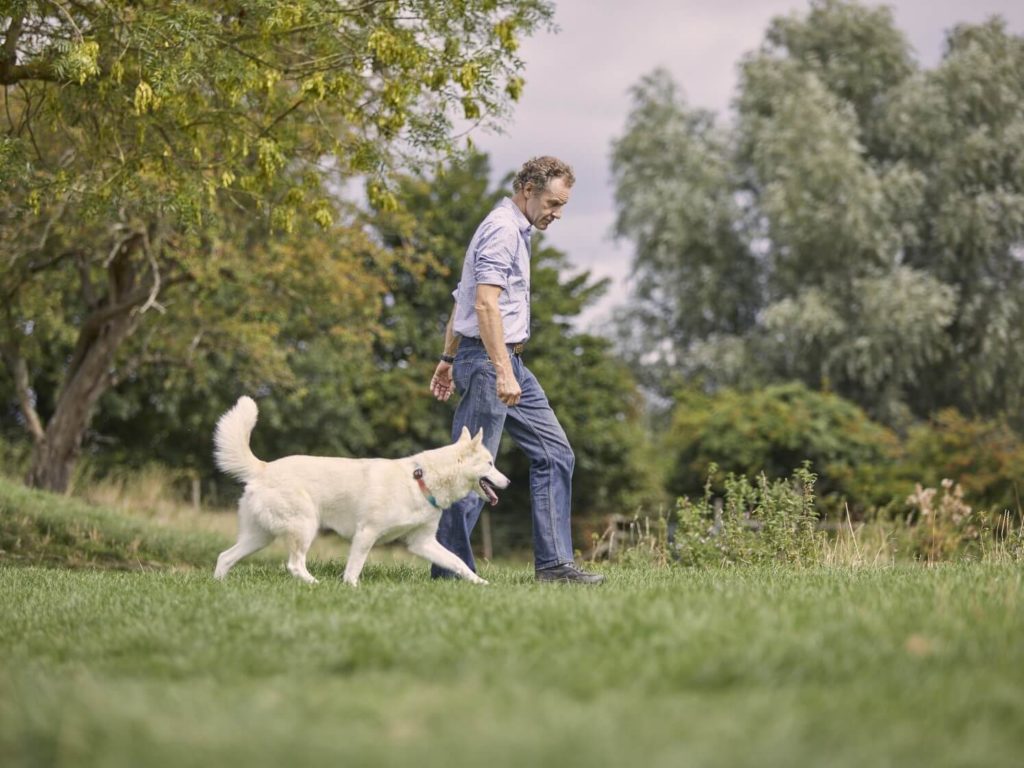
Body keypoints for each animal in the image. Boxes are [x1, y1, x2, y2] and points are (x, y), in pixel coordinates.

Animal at [214, 399, 509, 585]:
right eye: (490, 463)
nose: (507, 482)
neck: (421, 480)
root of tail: (263, 468)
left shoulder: (422, 542)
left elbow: (458, 562)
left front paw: (480, 582)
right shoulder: (366, 532)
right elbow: (354, 569)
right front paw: (351, 589)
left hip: (259, 536)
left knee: (224, 556)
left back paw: (219, 586)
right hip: (304, 526)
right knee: (295, 565)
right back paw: (315, 584)